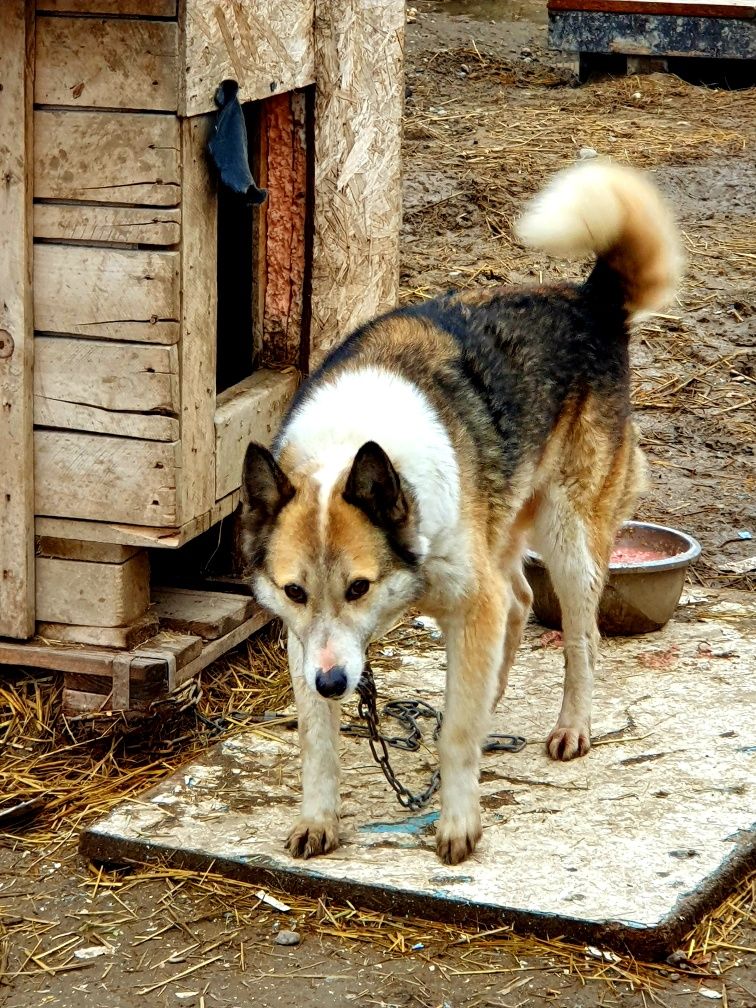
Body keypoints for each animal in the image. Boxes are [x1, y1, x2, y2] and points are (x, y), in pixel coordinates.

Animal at [239, 163, 685, 866]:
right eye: (295, 592)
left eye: (359, 587)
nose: (334, 685)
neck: (354, 446)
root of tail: (588, 301)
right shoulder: (305, 641)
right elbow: (318, 743)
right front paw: (318, 818)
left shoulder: (468, 601)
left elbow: (454, 734)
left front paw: (458, 823)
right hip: (505, 539)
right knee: (519, 601)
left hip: (569, 541)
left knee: (577, 636)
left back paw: (571, 727)